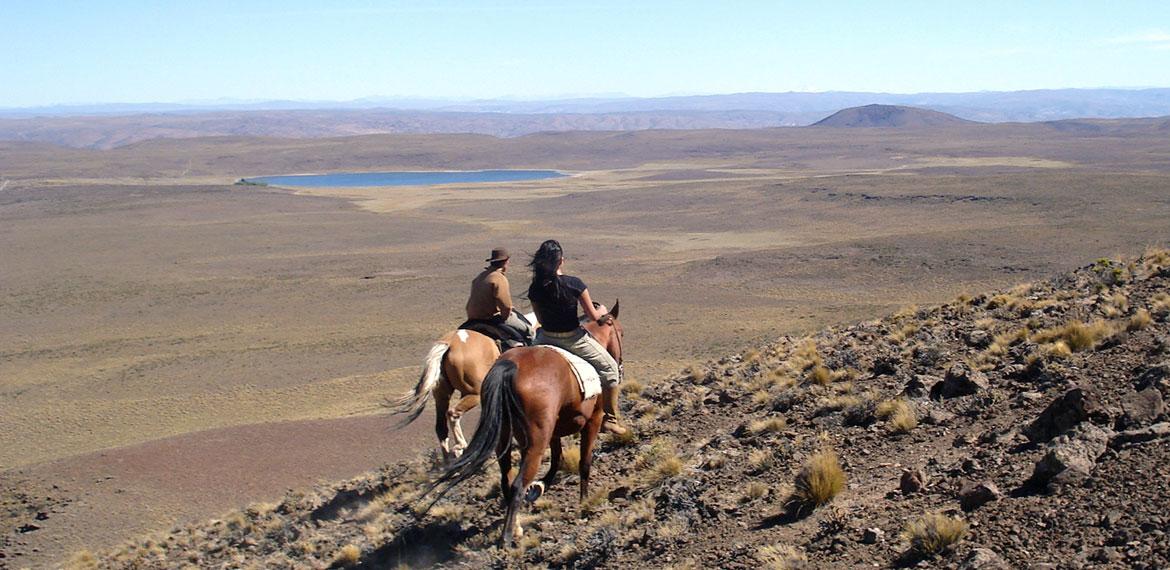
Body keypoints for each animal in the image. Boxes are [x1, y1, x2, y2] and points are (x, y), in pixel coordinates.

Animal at [423, 301, 622, 547]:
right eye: (620, 333)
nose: (619, 363)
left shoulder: (553, 431)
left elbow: (558, 458)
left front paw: (540, 487)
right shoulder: (592, 420)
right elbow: (584, 462)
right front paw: (584, 500)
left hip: (492, 428)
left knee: (503, 476)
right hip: (528, 436)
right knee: (516, 482)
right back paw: (507, 536)